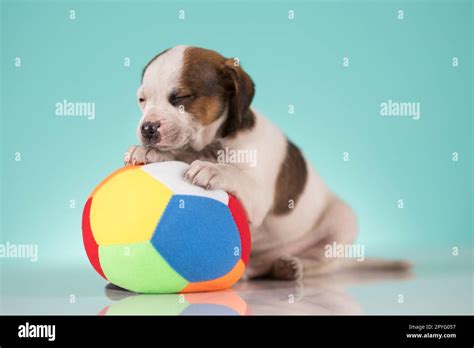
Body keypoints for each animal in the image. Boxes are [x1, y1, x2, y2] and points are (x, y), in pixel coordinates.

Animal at [124, 45, 410, 280]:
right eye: (142, 100)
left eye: (181, 98)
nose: (147, 129)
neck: (213, 142)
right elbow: (179, 153)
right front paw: (151, 153)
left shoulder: (258, 196)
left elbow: (232, 172)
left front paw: (211, 168)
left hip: (342, 222)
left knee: (319, 263)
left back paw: (292, 266)